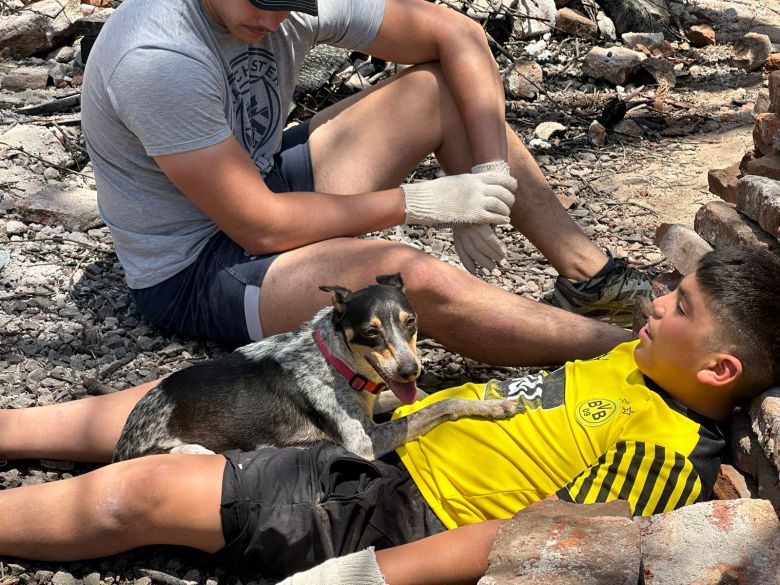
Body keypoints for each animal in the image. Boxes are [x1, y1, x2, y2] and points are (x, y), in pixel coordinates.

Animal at [111, 272, 516, 460]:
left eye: (411, 321)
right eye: (371, 332)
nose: (409, 371)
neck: (337, 363)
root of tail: (122, 445)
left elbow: (427, 396)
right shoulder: (365, 442)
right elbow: (442, 404)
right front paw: (496, 407)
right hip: (193, 452)